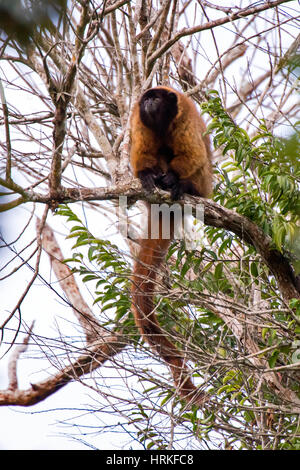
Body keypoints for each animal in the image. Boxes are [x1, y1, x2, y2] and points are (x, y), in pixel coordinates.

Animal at [130, 86, 212, 406]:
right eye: (146, 99)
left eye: (157, 98)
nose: (150, 100)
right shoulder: (137, 120)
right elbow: (141, 156)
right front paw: (147, 176)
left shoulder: (184, 118)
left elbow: (193, 154)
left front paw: (175, 179)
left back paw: (183, 186)